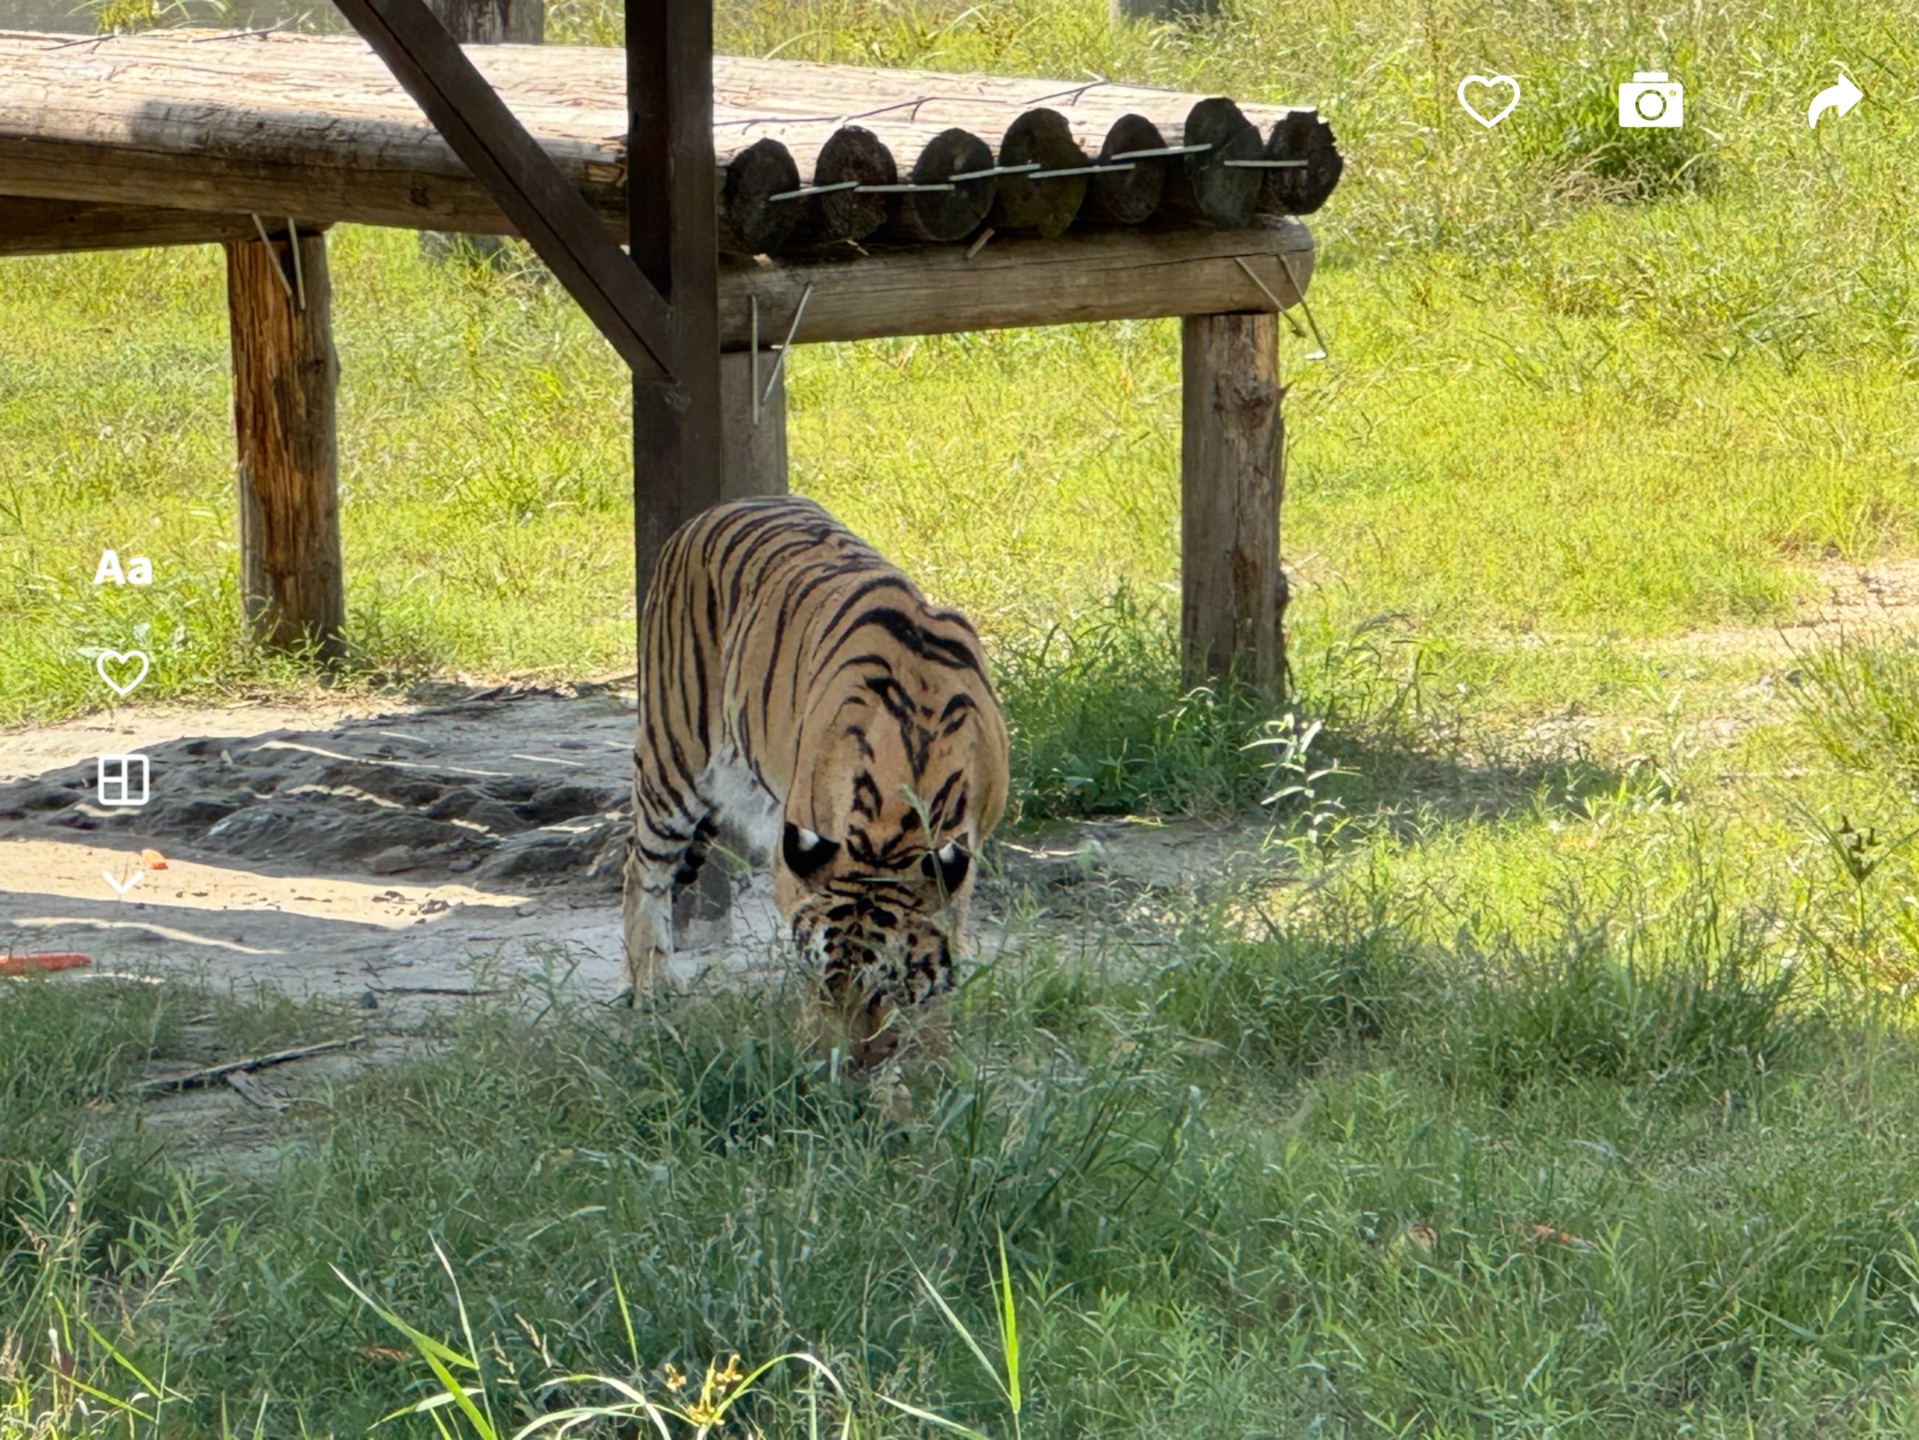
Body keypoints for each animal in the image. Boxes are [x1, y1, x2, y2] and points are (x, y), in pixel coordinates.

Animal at [625, 495, 1020, 1075]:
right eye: (817, 978)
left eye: (884, 987)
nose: (837, 1067)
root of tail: (707, 514)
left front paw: (932, 1056)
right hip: (675, 754)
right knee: (641, 870)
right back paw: (649, 989)